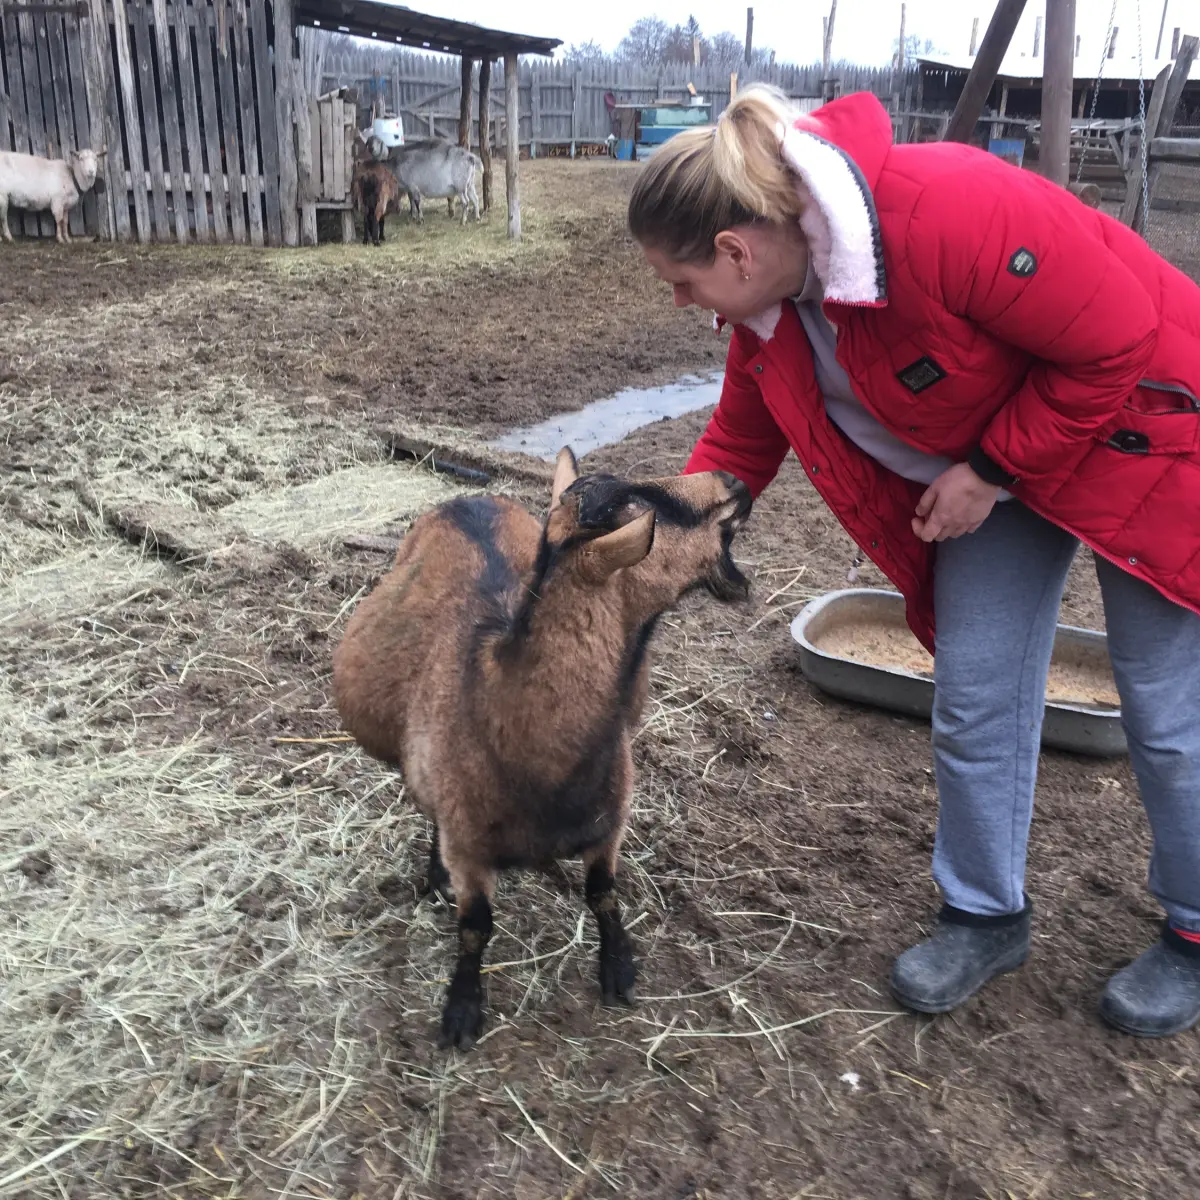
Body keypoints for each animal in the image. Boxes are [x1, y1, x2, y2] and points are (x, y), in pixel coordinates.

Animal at [331, 451, 748, 1051]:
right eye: (652, 502)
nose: (736, 481)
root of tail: (468, 498)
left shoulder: (609, 819)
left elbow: (602, 893)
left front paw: (618, 969)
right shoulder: (469, 844)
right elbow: (475, 927)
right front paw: (461, 1011)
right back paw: (434, 876)